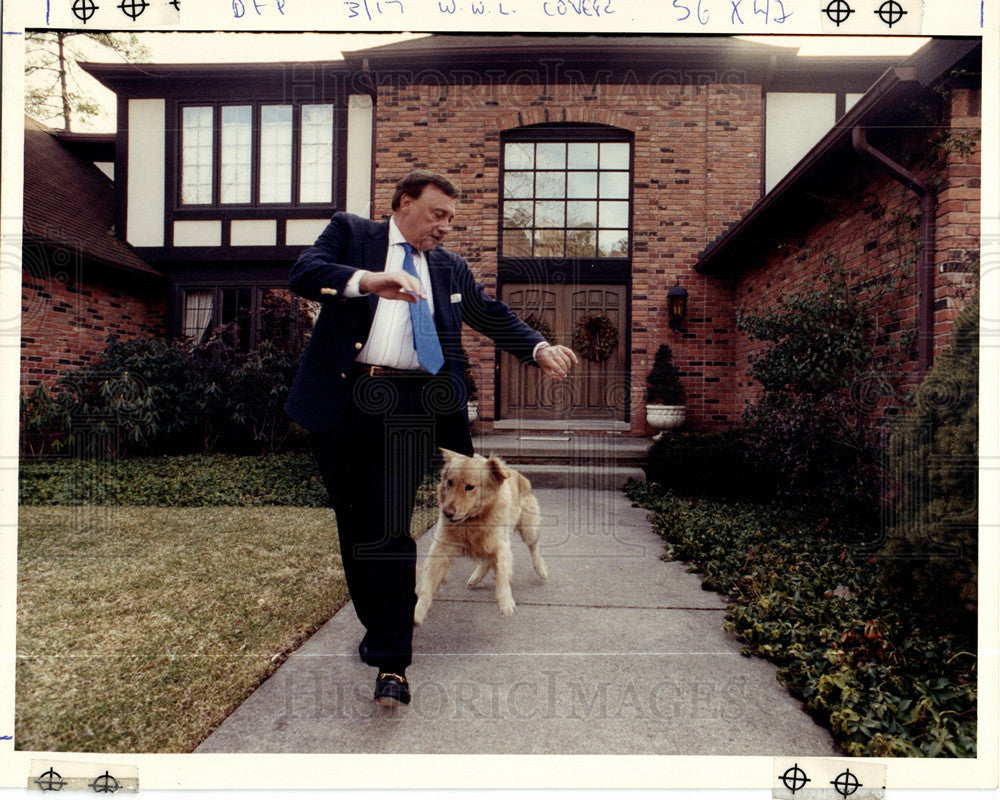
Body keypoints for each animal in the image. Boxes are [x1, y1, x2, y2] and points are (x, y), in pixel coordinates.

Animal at [412, 446, 548, 620]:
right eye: (450, 482)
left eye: (470, 487)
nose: (447, 513)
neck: (473, 520)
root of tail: (518, 474)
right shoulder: (441, 548)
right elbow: (428, 582)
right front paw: (418, 610)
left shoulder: (501, 545)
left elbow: (502, 573)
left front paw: (505, 601)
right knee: (487, 561)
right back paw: (475, 577)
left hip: (529, 529)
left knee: (534, 548)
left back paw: (541, 569)